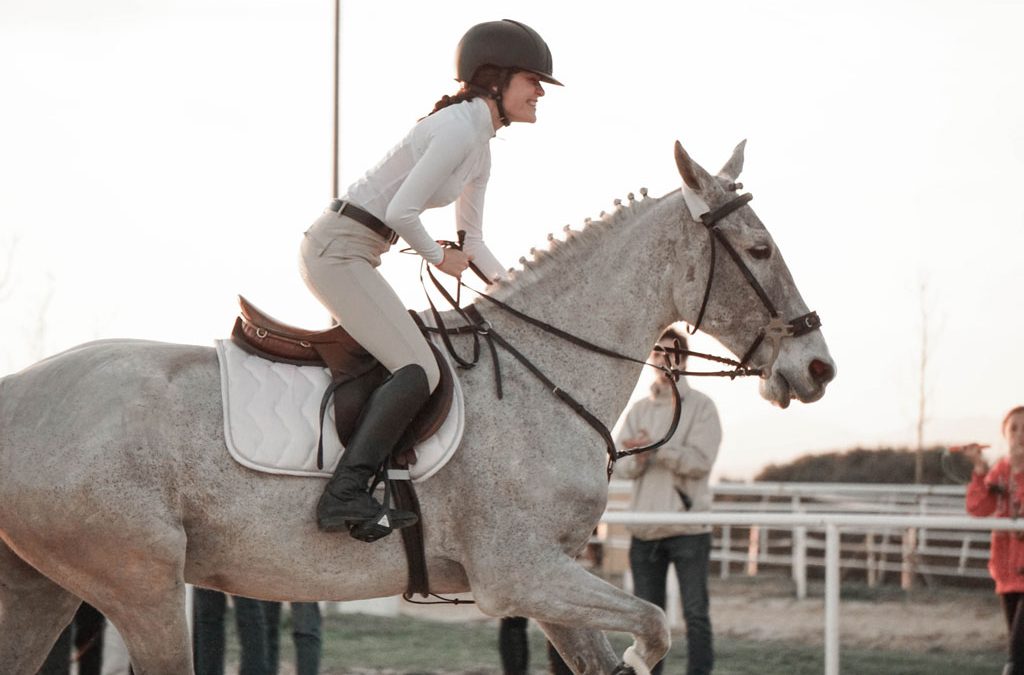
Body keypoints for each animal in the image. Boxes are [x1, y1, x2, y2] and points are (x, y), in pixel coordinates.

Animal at [0, 140, 831, 671]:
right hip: (138, 583)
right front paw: (639, 650)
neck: (544, 376)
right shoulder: (519, 571)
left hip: (42, 586)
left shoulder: (554, 579)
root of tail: (16, 392)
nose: (818, 366)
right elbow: (653, 627)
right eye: (759, 250)